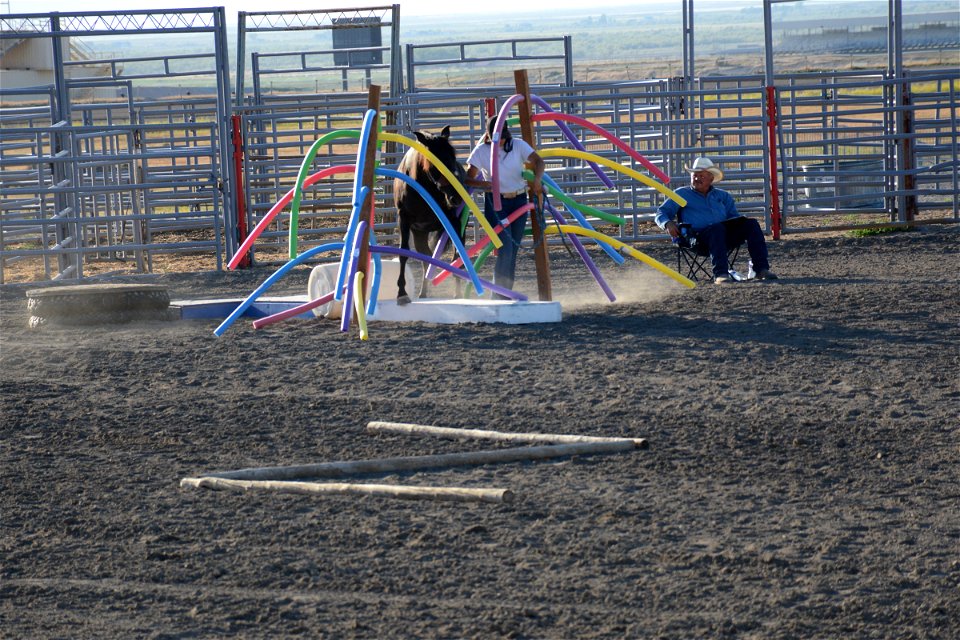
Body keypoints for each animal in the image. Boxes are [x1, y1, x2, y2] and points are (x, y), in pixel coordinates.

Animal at [390, 126, 464, 306]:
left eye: (453, 157)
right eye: (436, 161)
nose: (456, 197)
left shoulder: (453, 222)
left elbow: (457, 255)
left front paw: (458, 292)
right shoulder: (404, 220)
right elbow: (404, 252)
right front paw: (401, 294)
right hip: (419, 234)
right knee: (426, 258)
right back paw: (423, 292)